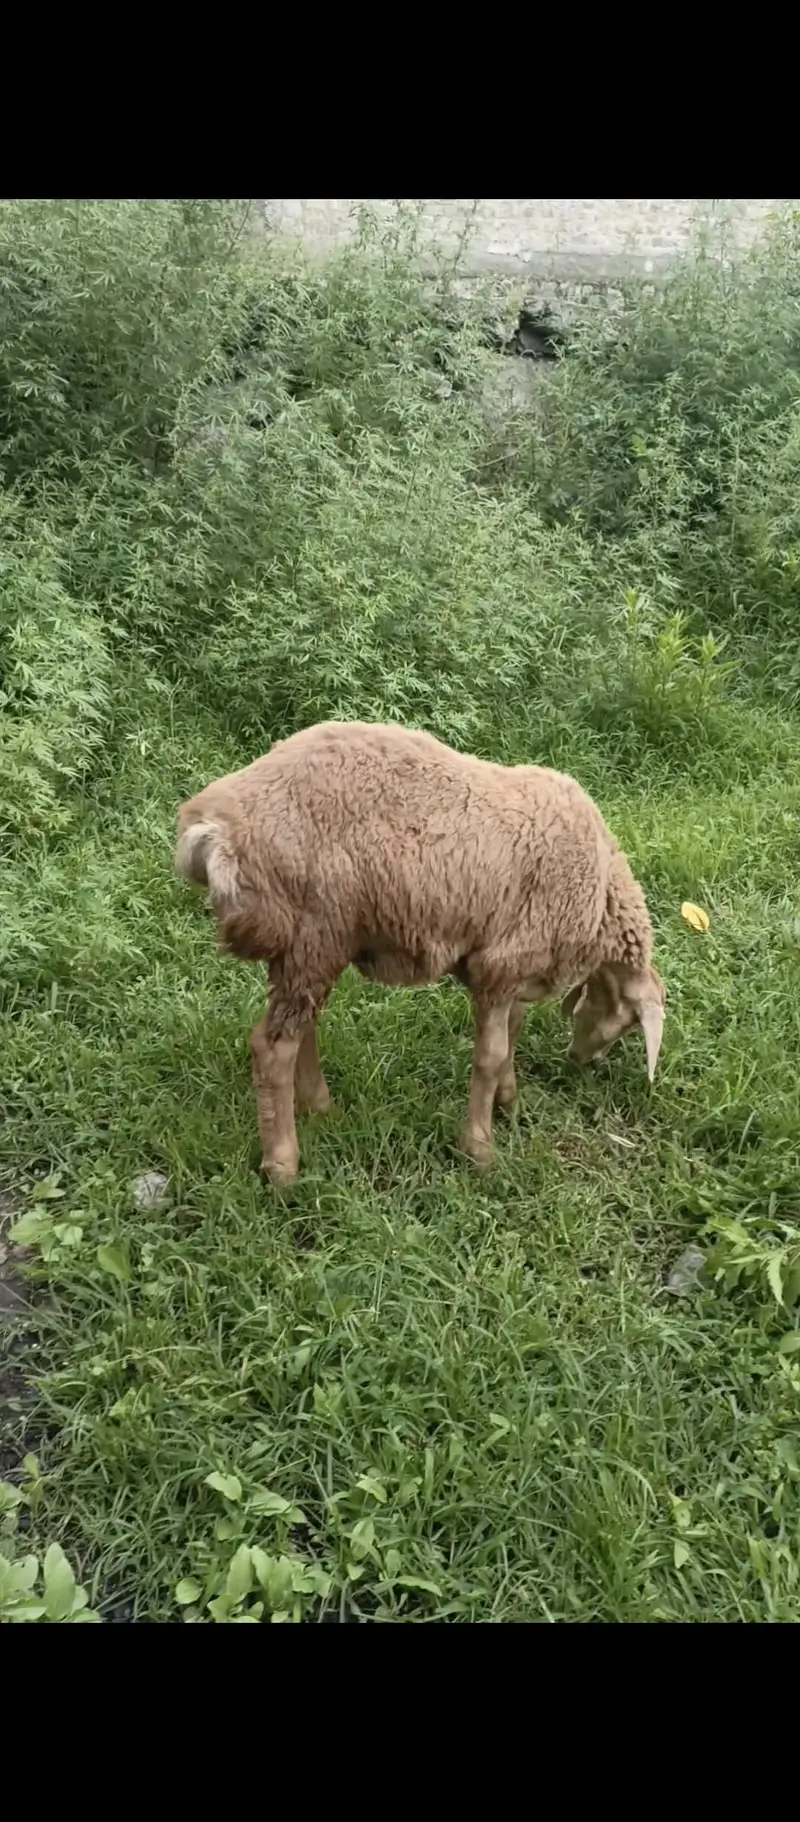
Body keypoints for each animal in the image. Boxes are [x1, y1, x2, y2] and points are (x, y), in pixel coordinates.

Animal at [175, 720, 665, 1184]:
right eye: (628, 1022)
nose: (582, 1062)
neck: (601, 895)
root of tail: (210, 828)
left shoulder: (511, 968)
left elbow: (511, 1034)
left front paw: (510, 1105)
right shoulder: (500, 966)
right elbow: (490, 1056)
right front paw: (479, 1150)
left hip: (307, 946)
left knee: (301, 1027)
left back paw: (320, 1107)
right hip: (316, 932)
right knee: (273, 1047)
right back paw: (283, 1166)